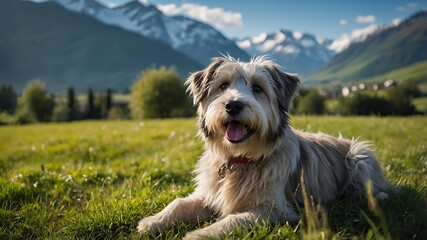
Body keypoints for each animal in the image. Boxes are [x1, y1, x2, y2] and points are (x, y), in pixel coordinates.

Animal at [137, 55, 392, 238]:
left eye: (258, 88)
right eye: (223, 86)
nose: (233, 105)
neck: (239, 160)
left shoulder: (273, 209)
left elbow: (233, 219)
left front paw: (200, 234)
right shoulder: (209, 193)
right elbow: (178, 203)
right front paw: (152, 221)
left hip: (359, 157)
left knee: (374, 188)